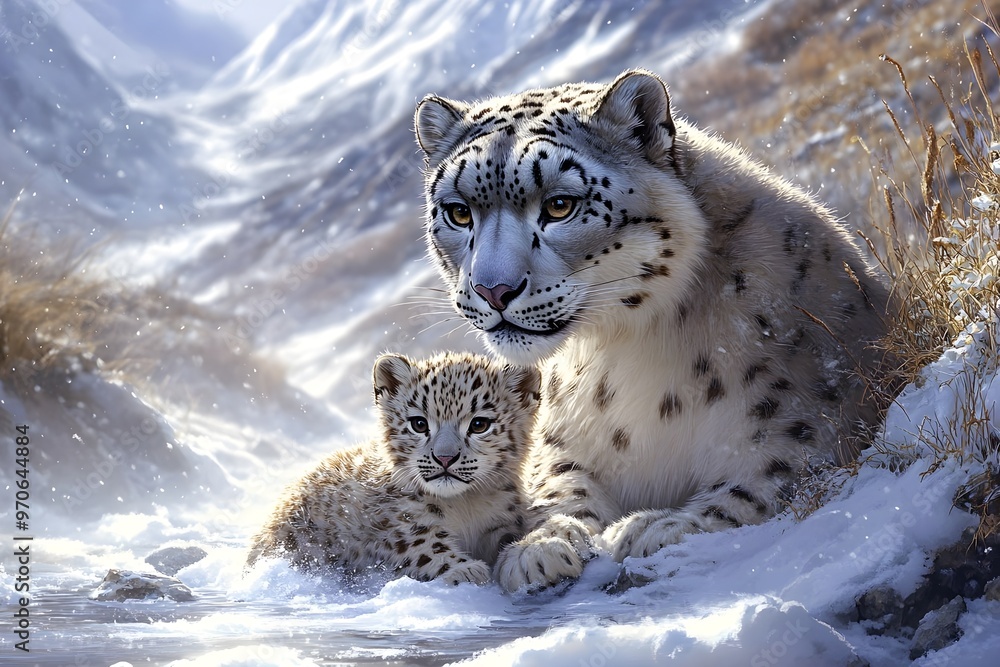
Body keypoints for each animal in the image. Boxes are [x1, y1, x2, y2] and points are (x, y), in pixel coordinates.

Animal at [245, 351, 542, 587]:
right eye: (419, 424)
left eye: (479, 424)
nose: (445, 458)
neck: (465, 505)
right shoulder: (399, 524)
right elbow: (423, 545)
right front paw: (466, 569)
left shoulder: (502, 521)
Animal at [413, 68, 896, 593]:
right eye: (459, 212)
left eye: (560, 205)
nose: (493, 290)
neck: (621, 353)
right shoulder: (563, 440)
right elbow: (556, 483)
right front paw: (540, 546)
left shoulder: (808, 422)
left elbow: (767, 481)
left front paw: (656, 526)